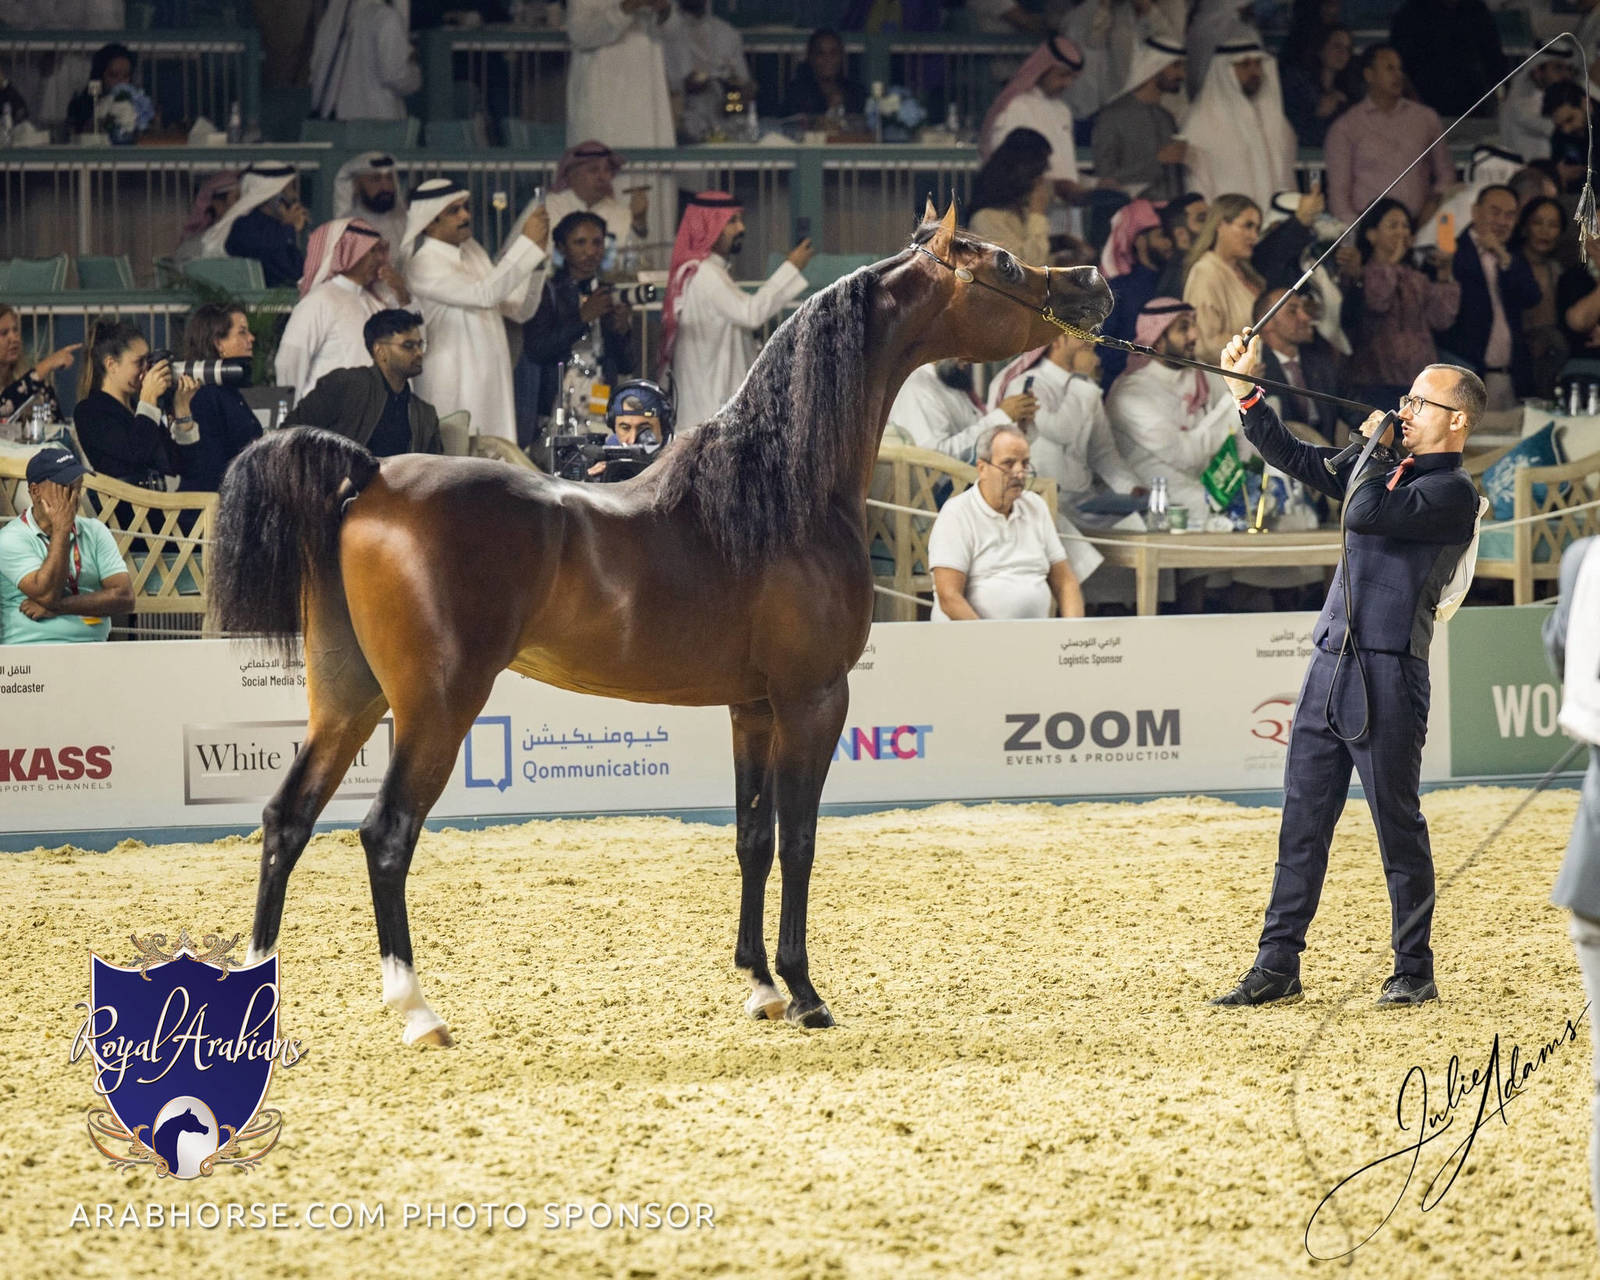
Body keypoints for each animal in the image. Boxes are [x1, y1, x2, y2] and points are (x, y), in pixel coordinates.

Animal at [208, 202, 1113, 1047]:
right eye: (1003, 263)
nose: (1094, 283)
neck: (782, 490)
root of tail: (369, 475)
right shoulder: (814, 700)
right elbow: (800, 839)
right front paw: (805, 993)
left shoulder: (752, 708)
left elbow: (751, 837)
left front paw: (759, 986)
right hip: (436, 705)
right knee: (385, 834)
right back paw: (417, 1009)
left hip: (348, 698)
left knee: (287, 820)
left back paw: (257, 997)